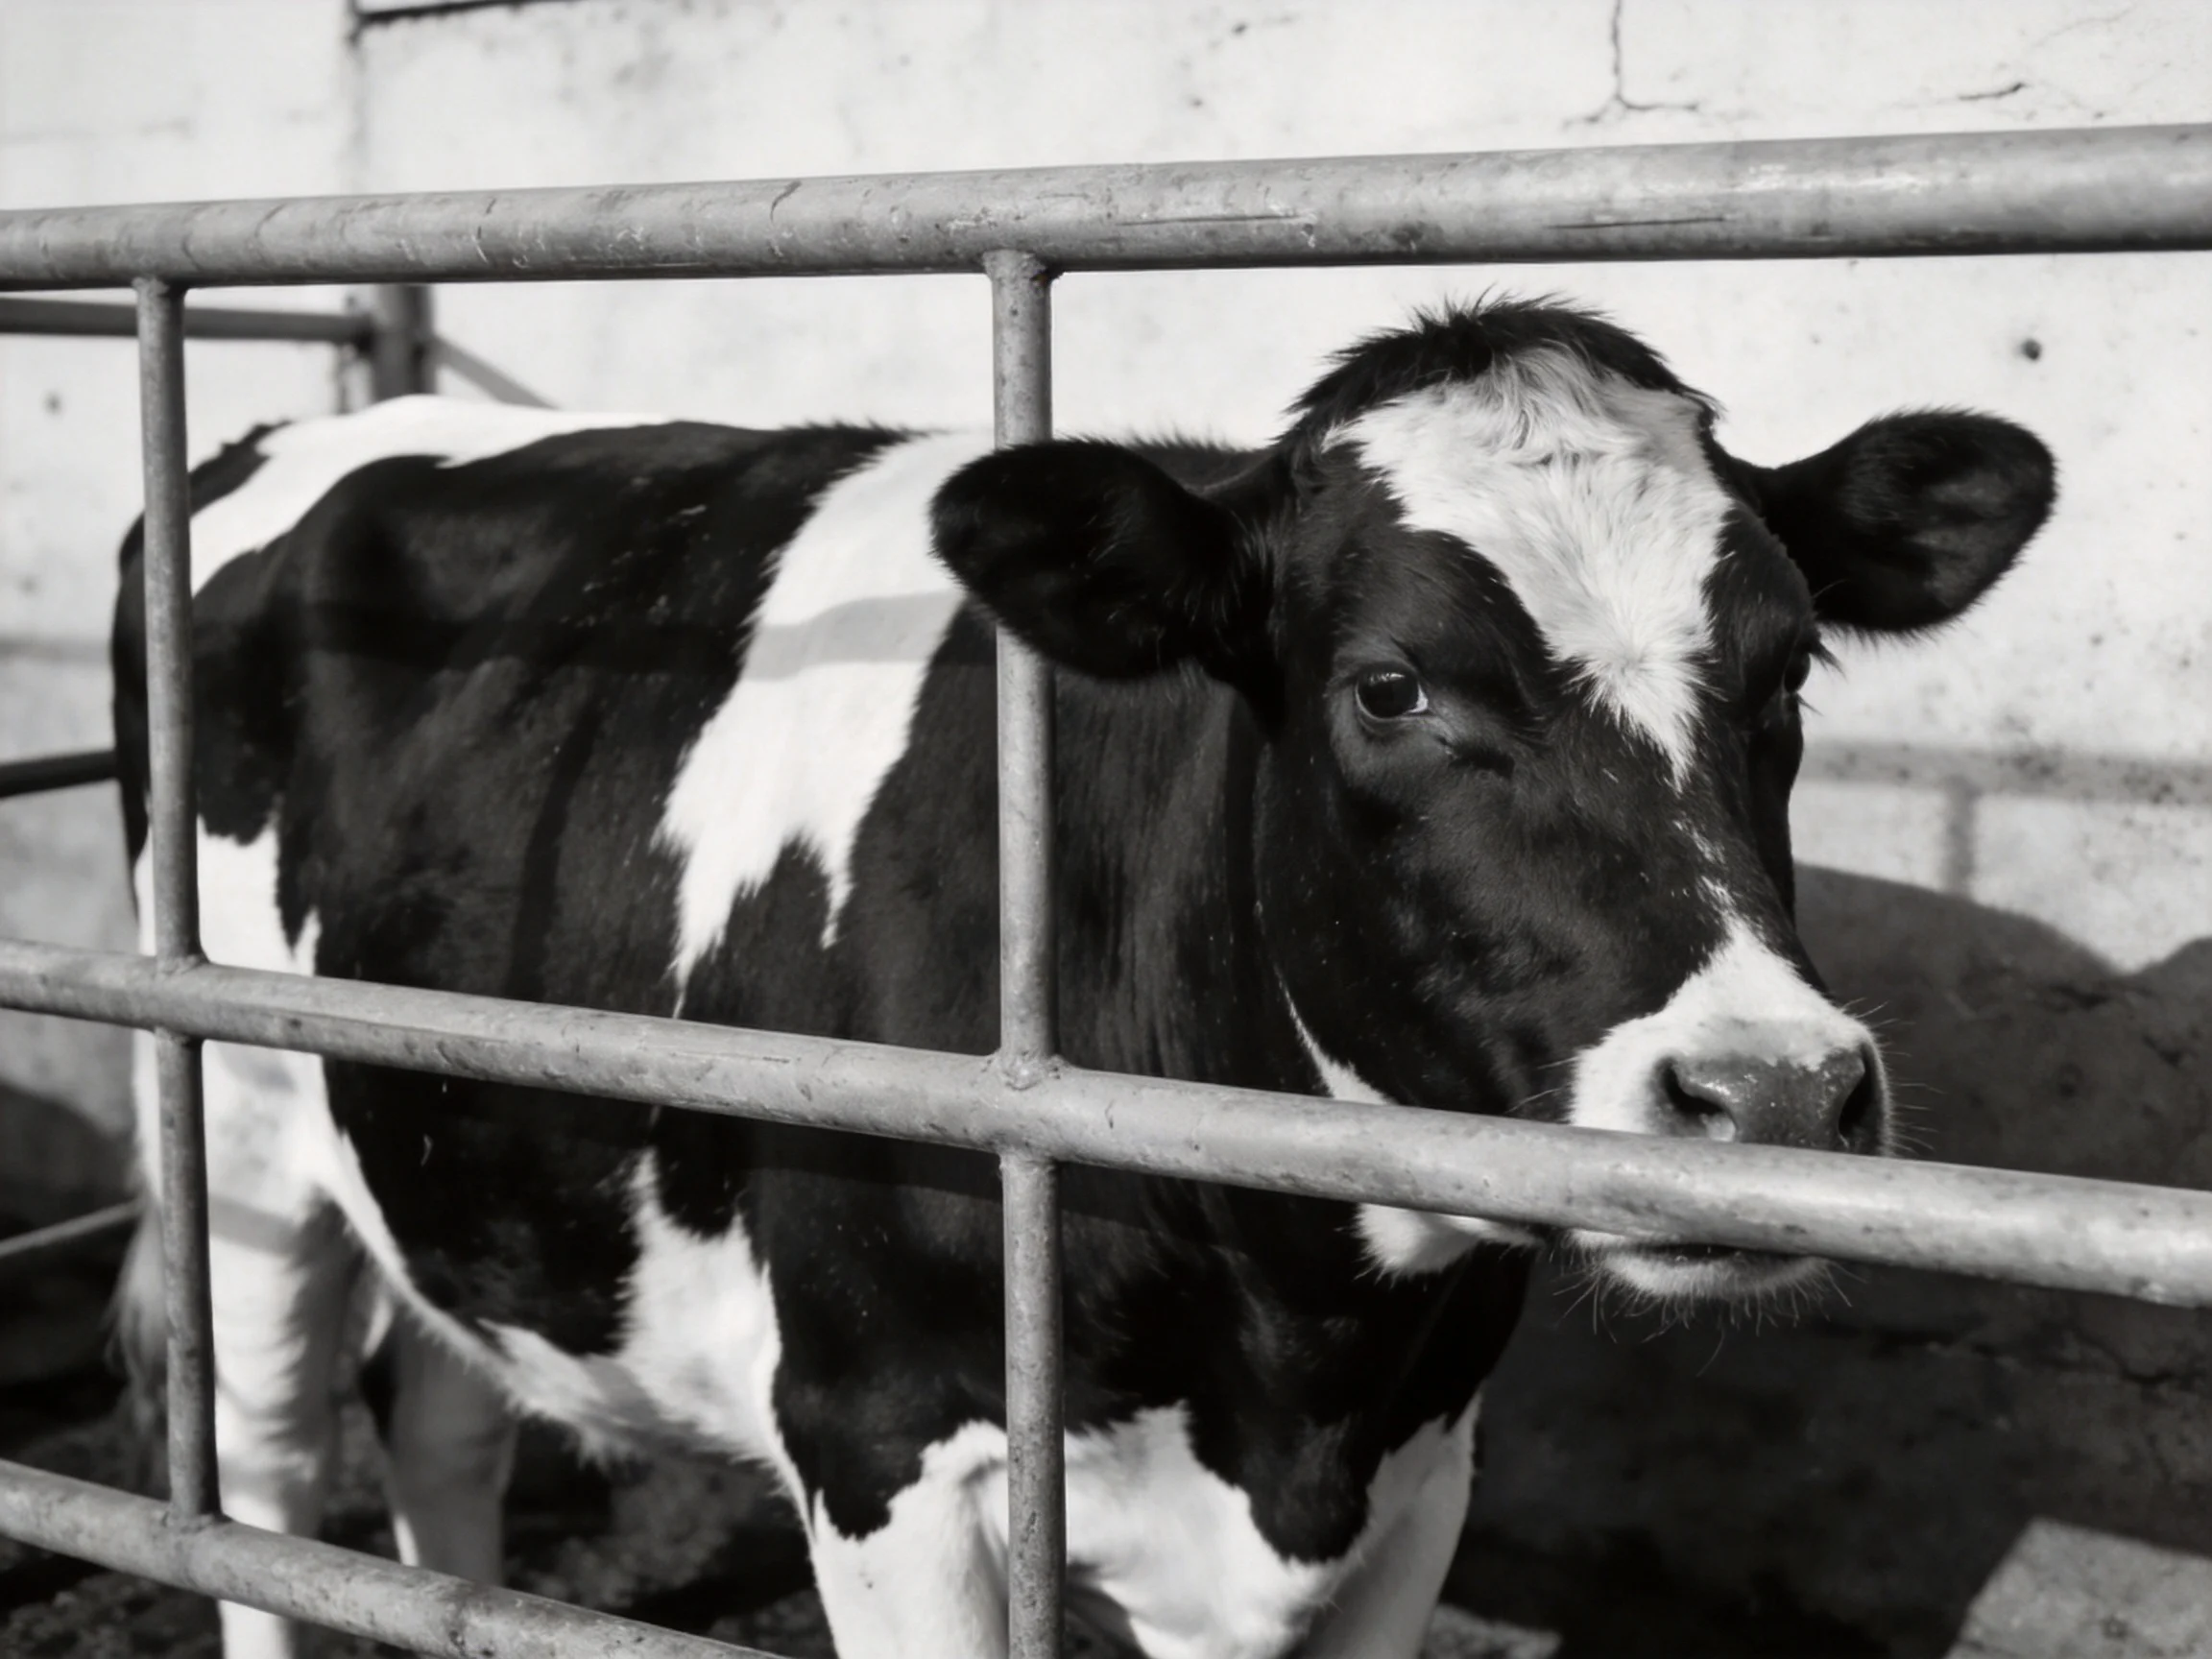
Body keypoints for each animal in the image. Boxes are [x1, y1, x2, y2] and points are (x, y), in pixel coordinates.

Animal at [113, 299, 2053, 1659]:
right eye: (1387, 685)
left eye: (1788, 669)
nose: (1774, 1088)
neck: (1293, 1353)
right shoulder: (884, 1442)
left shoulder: (1419, 1472)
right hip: (243, 1114)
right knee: (268, 1474)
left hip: (466, 1146)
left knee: (445, 1422)